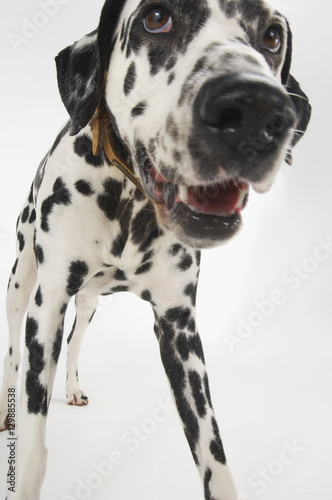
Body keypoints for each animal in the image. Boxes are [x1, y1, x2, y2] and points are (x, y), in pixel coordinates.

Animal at [0, 0, 312, 498]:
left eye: (271, 35)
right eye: (157, 18)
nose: (255, 110)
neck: (128, 202)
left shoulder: (179, 329)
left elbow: (213, 455)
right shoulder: (47, 304)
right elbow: (32, 443)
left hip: (88, 303)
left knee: (77, 338)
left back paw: (72, 386)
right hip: (20, 280)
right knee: (12, 351)